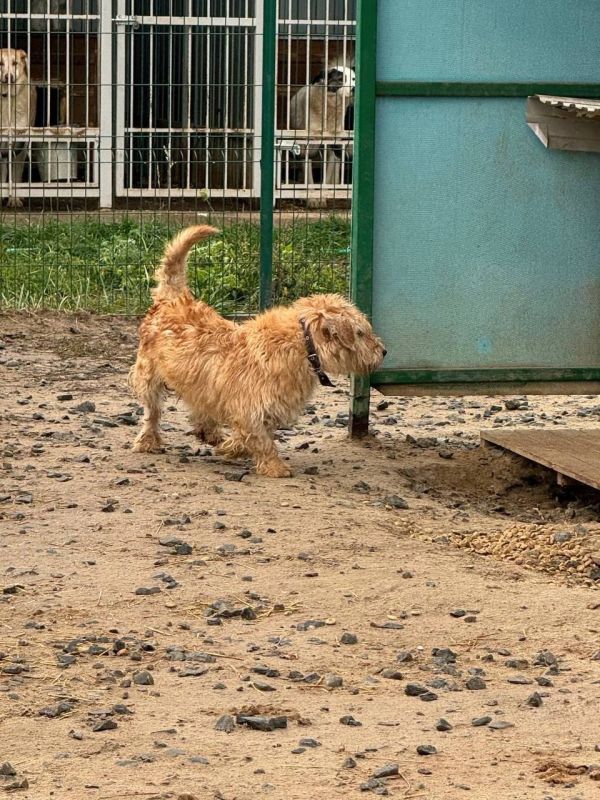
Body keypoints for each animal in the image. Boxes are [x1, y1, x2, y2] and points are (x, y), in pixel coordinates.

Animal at [129, 225, 386, 476]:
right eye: (361, 333)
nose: (383, 351)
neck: (302, 345)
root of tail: (172, 298)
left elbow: (253, 436)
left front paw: (232, 448)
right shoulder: (251, 406)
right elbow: (261, 439)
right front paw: (274, 466)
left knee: (199, 407)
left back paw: (209, 431)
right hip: (149, 377)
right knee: (152, 413)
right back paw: (148, 441)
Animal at [288, 64, 354, 202]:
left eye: (354, 78)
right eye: (341, 79)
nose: (354, 89)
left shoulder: (334, 142)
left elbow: (328, 173)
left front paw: (323, 195)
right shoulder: (307, 143)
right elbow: (308, 175)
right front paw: (312, 199)